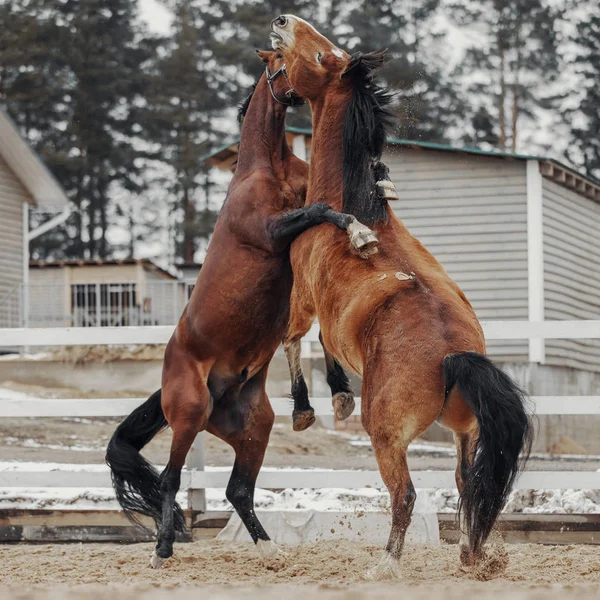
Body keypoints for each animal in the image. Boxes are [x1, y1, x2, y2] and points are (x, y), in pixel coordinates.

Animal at [272, 12, 536, 576]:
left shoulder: (304, 299)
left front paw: (311, 407)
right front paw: (337, 394)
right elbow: (323, 342)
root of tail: (455, 357)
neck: (354, 206)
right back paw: (471, 556)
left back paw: (386, 566)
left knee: (407, 496)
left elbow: (296, 340)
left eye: (324, 55)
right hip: (465, 432)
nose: (282, 21)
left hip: (387, 438)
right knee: (469, 486)